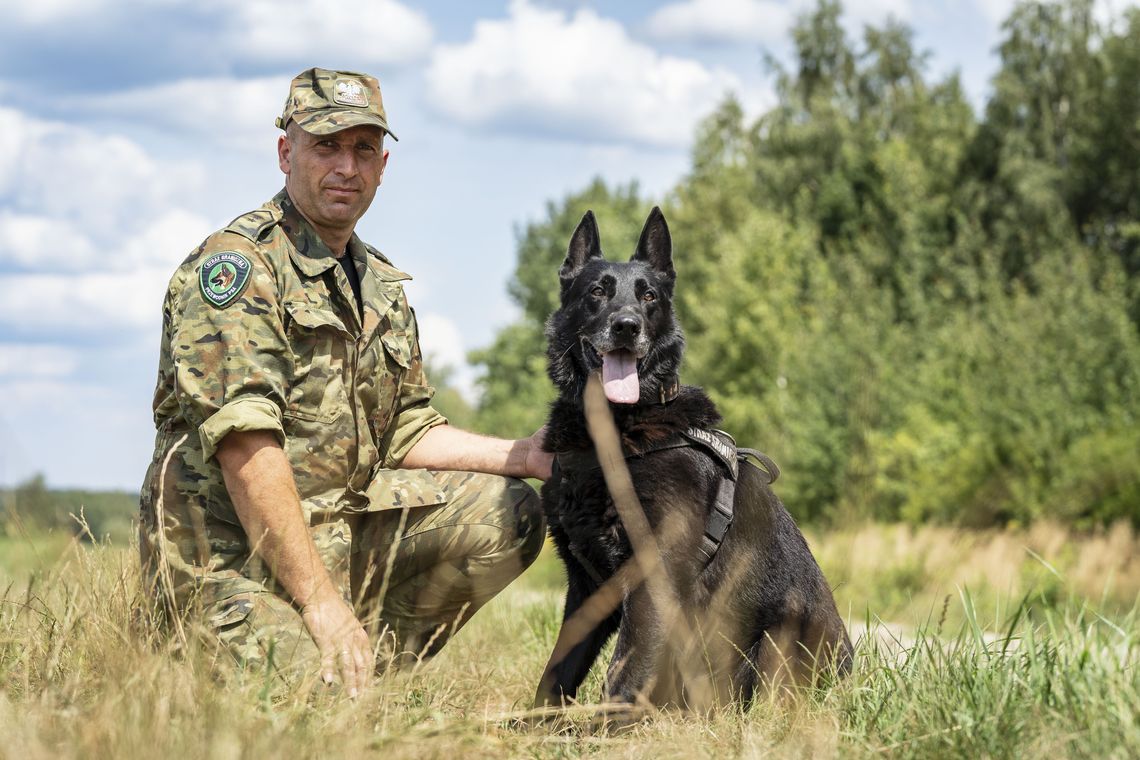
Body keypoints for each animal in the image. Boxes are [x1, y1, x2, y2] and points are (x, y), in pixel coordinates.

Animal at [531, 208, 848, 715]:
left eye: (649, 297)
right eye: (597, 291)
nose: (626, 326)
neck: (619, 432)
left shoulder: (652, 579)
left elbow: (625, 673)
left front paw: (602, 729)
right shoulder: (586, 588)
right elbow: (559, 668)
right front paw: (530, 723)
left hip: (777, 636)